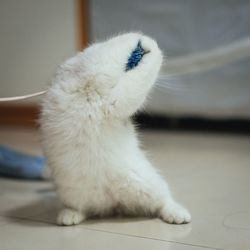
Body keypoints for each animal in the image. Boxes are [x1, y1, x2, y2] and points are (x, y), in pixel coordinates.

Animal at [40, 32, 190, 226]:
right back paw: (68, 217)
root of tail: (113, 202)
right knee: (82, 209)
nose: (150, 42)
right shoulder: (113, 98)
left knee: (164, 201)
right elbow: (143, 73)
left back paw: (179, 215)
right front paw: (151, 47)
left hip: (147, 184)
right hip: (76, 194)